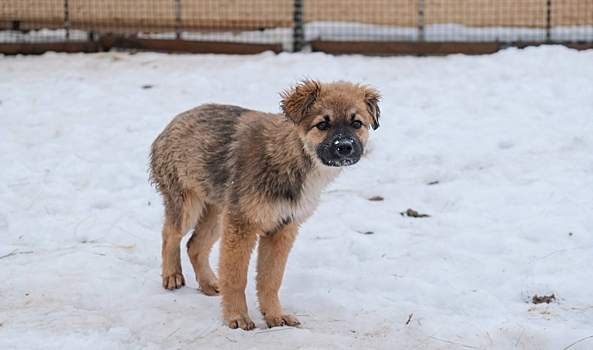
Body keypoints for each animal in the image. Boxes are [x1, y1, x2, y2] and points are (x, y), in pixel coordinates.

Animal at [148, 80, 380, 330]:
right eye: (322, 124)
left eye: (357, 123)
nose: (344, 147)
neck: (293, 156)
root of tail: (174, 121)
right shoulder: (242, 225)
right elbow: (236, 277)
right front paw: (237, 317)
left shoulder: (282, 228)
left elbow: (270, 279)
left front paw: (275, 316)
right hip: (189, 205)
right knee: (170, 233)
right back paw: (172, 276)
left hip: (217, 213)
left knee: (195, 245)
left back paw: (209, 284)